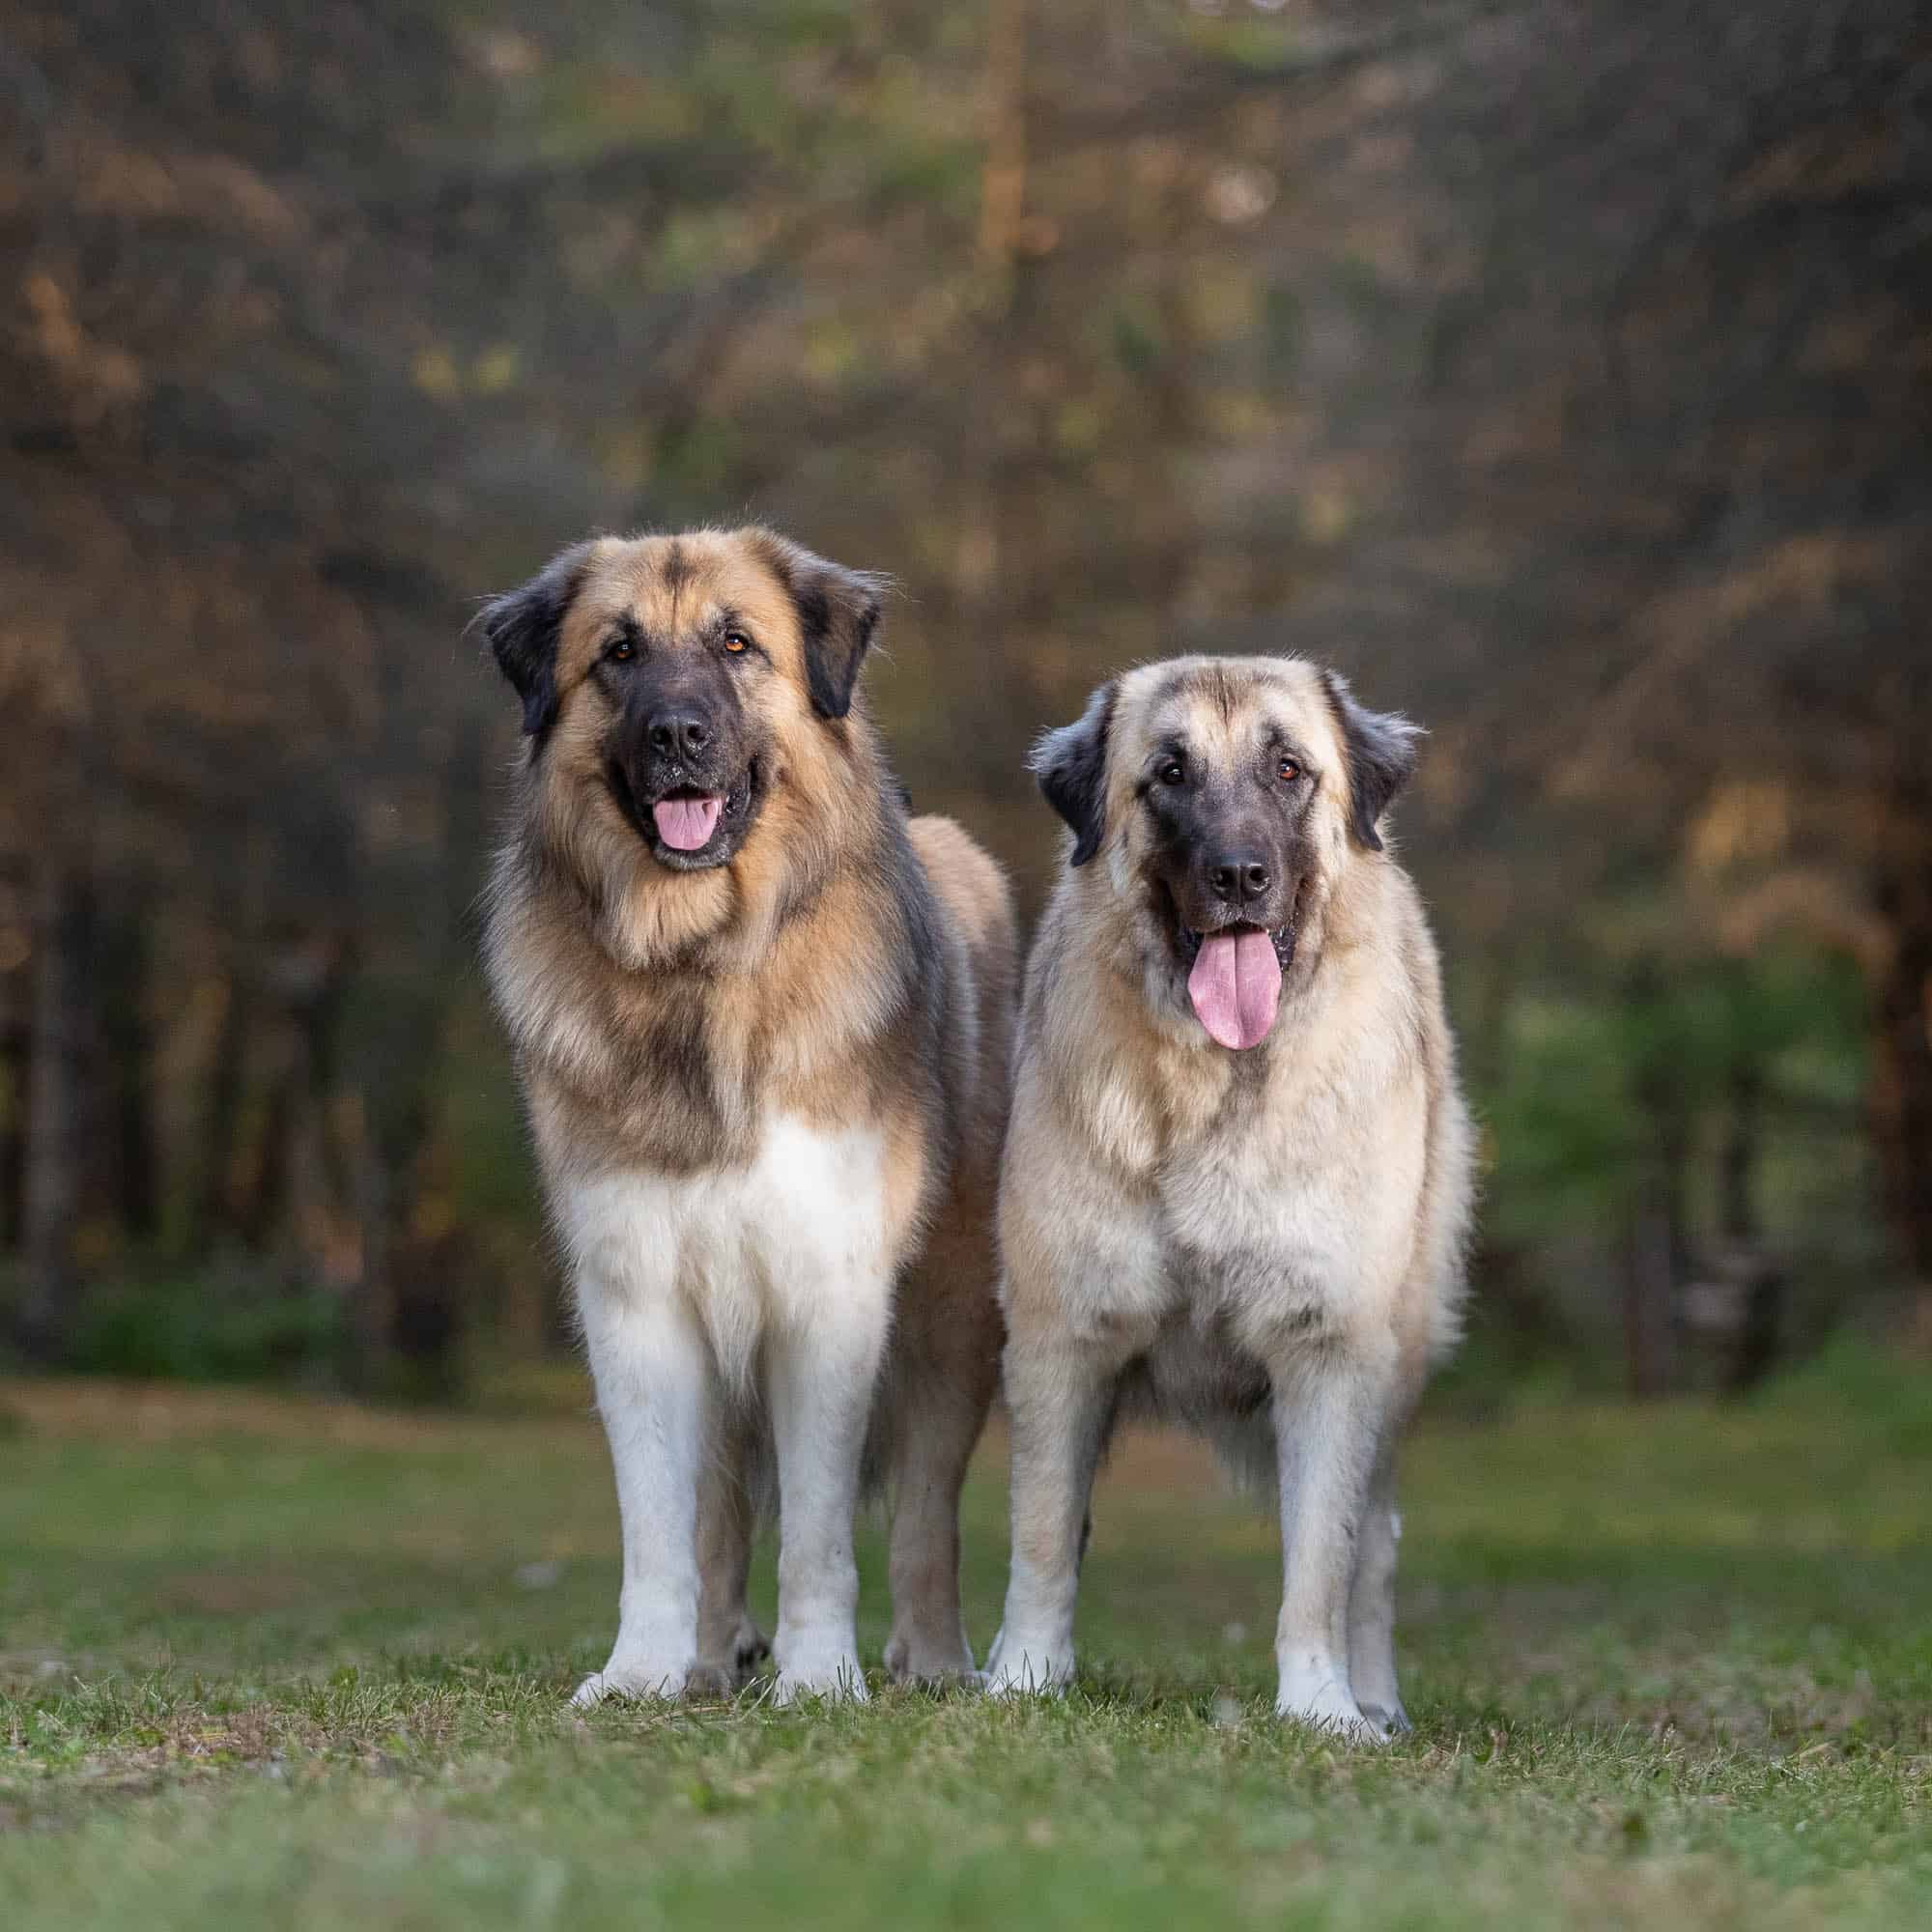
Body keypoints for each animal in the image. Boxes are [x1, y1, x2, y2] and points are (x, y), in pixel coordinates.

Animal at [477, 529, 1020, 1708]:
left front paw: (820, 1678)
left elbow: (821, 1531)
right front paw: (638, 1671)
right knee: (719, 1518)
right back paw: (708, 1652)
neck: (702, 966)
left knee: (927, 1520)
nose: (678, 733)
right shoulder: (636, 1296)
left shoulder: (826, 1293)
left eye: (736, 644)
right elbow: (660, 1525)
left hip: (951, 1326)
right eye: (619, 653)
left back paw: (933, 1660)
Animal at [989, 657, 1468, 1747]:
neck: (1211, 1085)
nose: (1240, 876)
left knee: (1374, 1548)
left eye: (1288, 769)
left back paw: (1376, 1698)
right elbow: (1043, 1537)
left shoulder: (1329, 1351)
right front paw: (1021, 1681)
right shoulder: (1061, 1340)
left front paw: (1322, 1706)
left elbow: (1322, 1565)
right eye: (1168, 774)